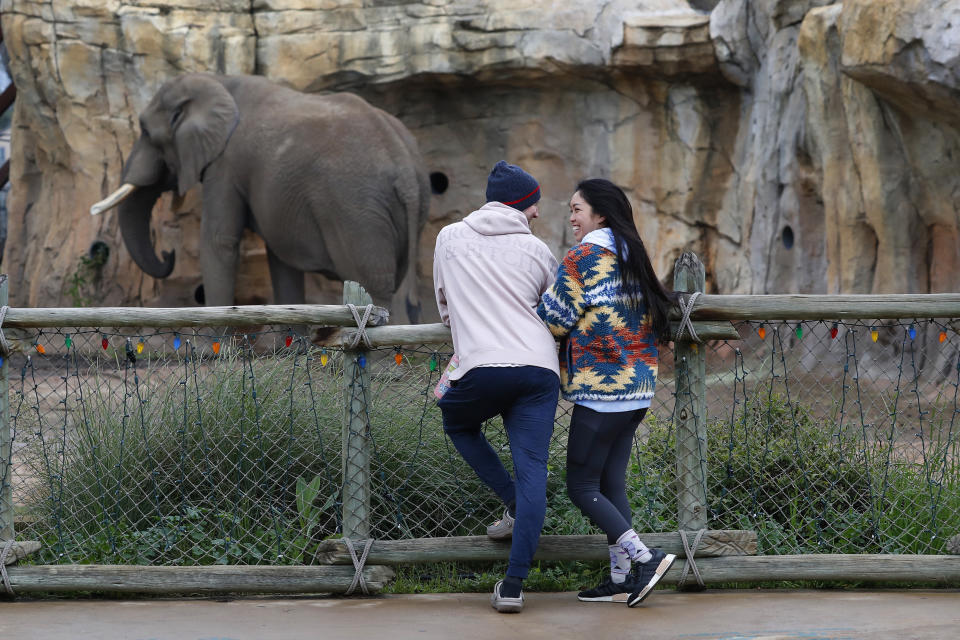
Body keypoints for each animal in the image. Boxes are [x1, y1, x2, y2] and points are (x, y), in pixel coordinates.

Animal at [92, 73, 430, 322]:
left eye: (146, 132)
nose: (168, 254)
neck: (218, 81)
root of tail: (405, 166)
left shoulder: (225, 165)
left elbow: (219, 241)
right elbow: (280, 259)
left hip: (357, 210)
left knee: (376, 283)